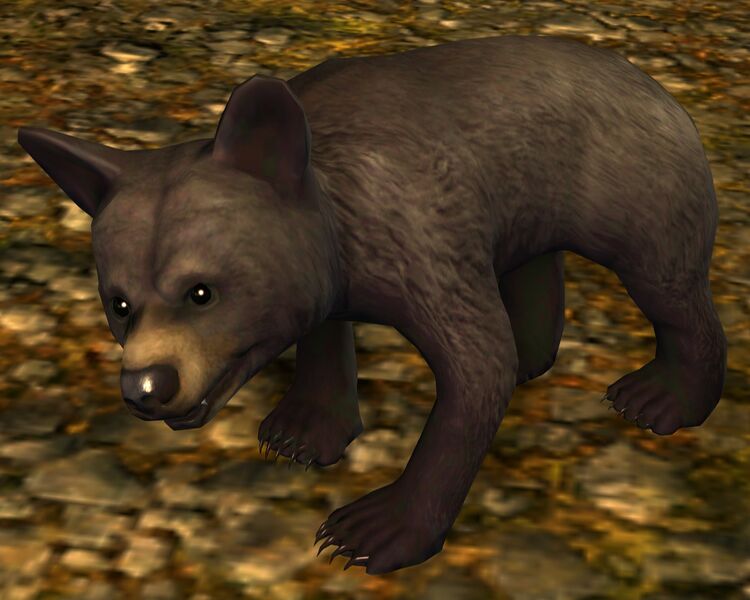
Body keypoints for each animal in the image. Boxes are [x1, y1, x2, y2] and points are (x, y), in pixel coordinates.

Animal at [18, 35, 726, 575]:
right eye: (119, 303)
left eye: (201, 290)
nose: (147, 386)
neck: (337, 213)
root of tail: (650, 81)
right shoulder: (332, 268)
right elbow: (323, 334)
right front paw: (300, 432)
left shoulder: (420, 234)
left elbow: (475, 370)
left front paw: (370, 529)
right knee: (533, 261)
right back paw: (537, 357)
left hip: (632, 182)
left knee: (668, 284)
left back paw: (660, 398)